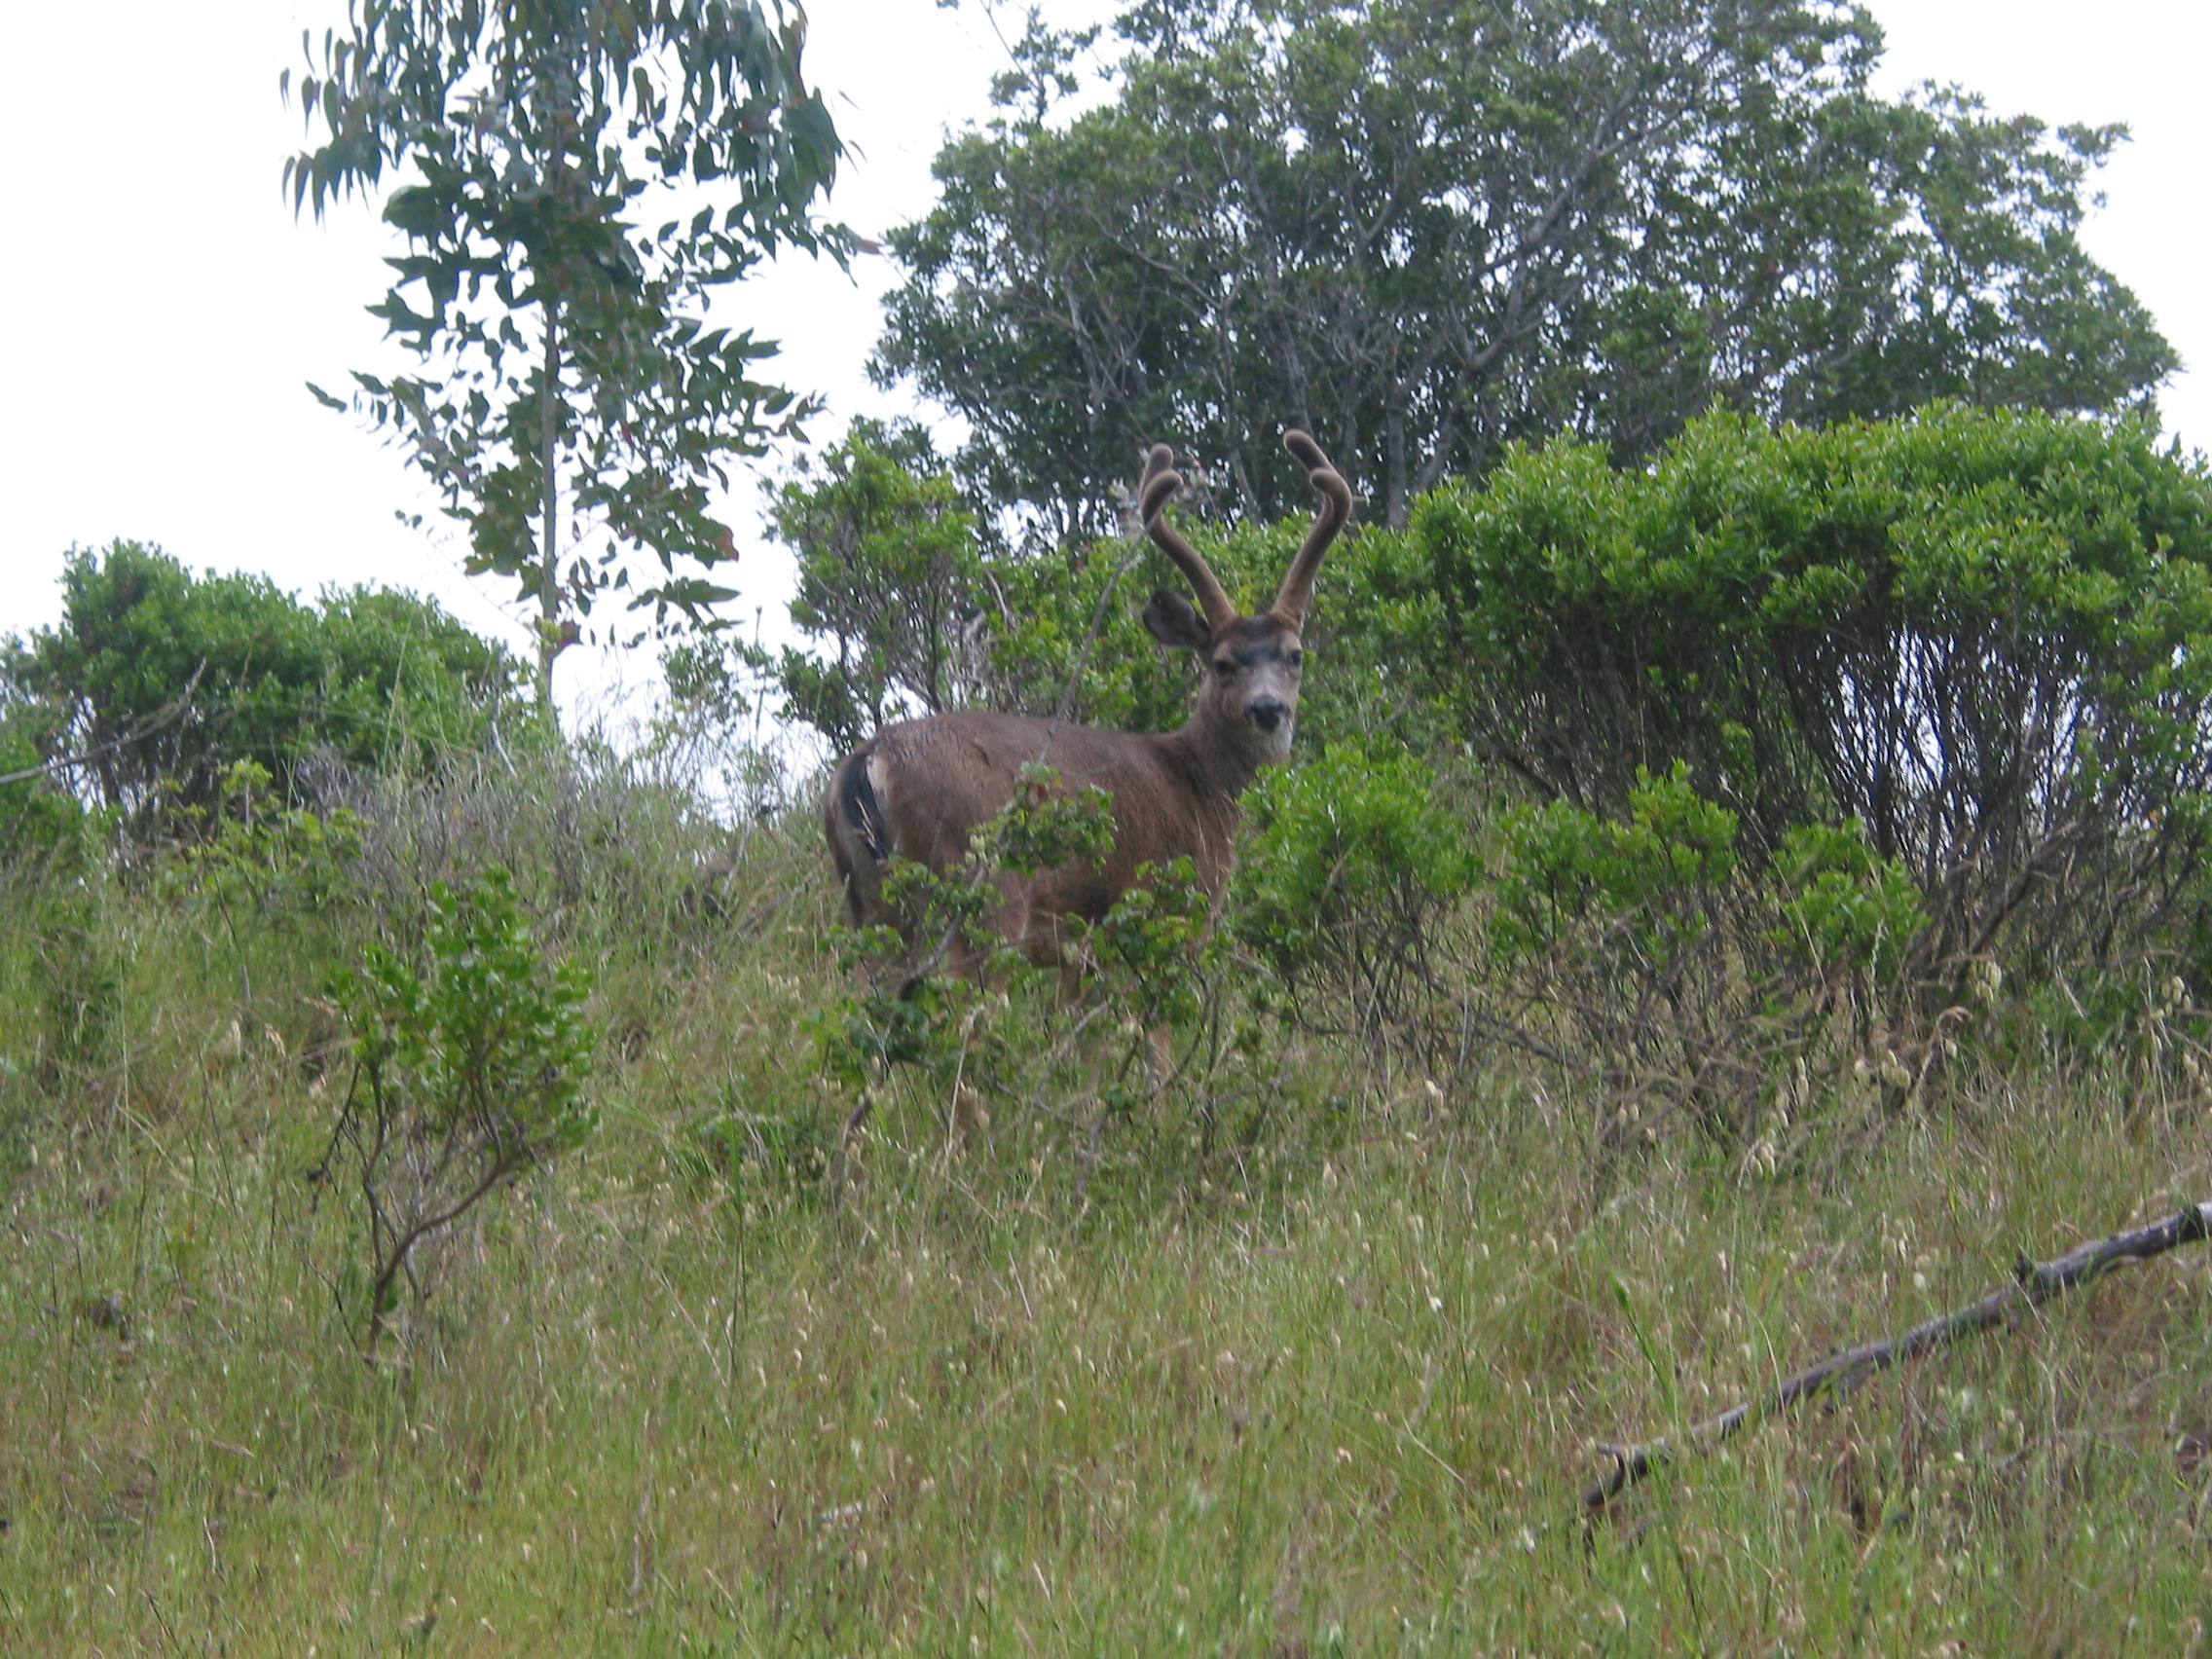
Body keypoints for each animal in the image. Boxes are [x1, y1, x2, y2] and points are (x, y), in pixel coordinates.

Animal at [827, 431, 1353, 986]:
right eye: (1223, 663)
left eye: (1295, 655)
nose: (1267, 708)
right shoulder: (1173, 913)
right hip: (981, 891)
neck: (1203, 786)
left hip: (869, 902)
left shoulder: (1079, 954)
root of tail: (869, 760)